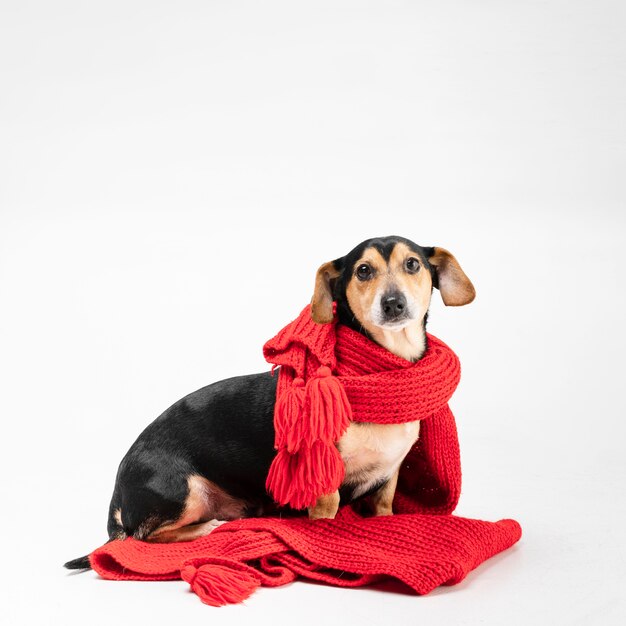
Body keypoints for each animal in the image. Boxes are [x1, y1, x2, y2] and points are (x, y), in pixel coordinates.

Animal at [64, 234, 472, 564]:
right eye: (363, 271)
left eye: (413, 264)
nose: (393, 303)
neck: (384, 373)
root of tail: (118, 495)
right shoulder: (323, 485)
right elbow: (327, 514)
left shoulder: (387, 480)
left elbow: (384, 510)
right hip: (184, 490)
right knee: (141, 537)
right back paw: (207, 528)